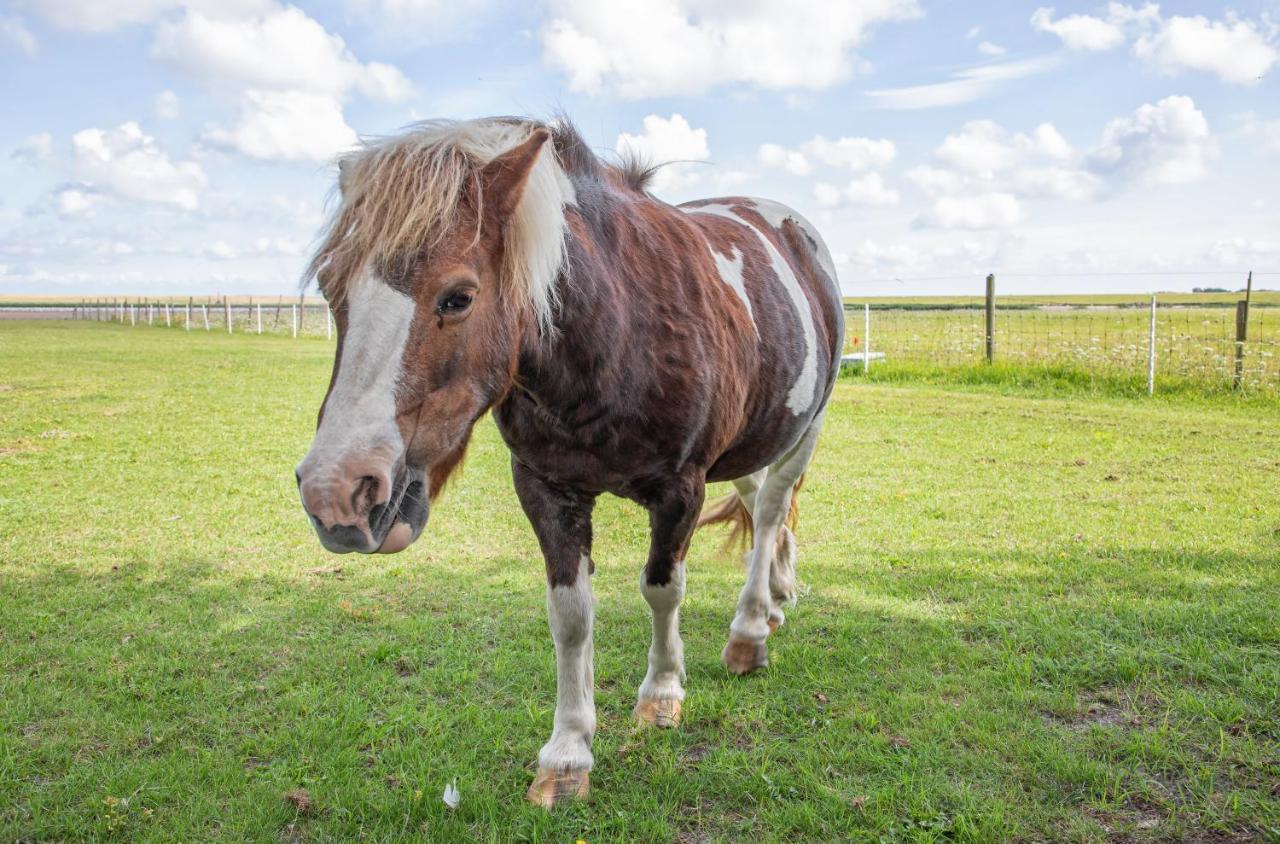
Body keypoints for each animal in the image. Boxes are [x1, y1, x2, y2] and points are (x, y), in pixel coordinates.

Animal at [294, 115, 844, 809]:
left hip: (807, 427)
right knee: (756, 500)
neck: (618, 332)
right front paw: (568, 752)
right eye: (330, 289)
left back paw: (749, 630)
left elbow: (662, 589)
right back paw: (773, 596)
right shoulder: (545, 489)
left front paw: (662, 693)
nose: (335, 493)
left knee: (771, 509)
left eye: (458, 297)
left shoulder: (681, 489)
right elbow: (572, 617)